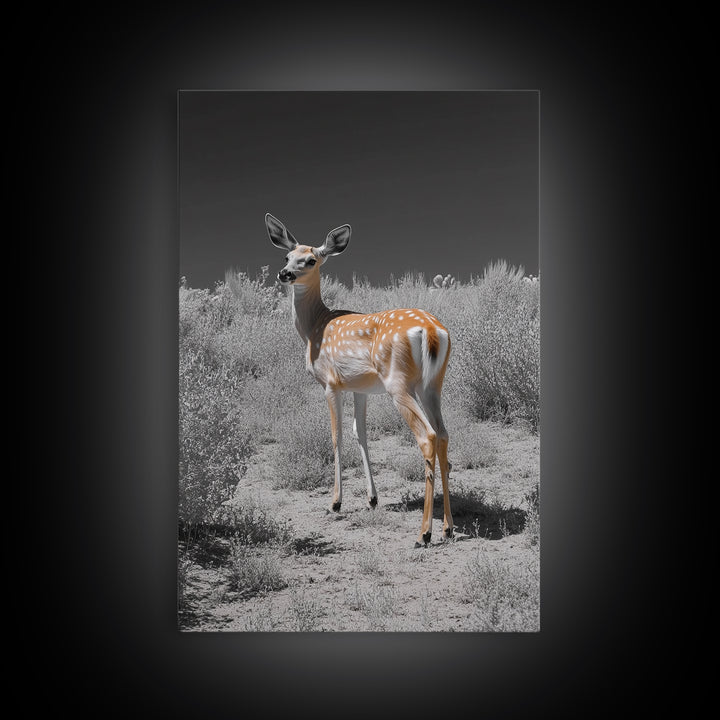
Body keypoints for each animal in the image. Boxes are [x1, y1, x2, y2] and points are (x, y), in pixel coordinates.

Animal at [266, 213, 454, 547]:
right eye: (287, 256)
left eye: (311, 260)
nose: (284, 274)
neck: (314, 327)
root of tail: (432, 331)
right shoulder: (360, 388)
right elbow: (361, 434)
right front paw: (372, 499)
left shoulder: (330, 383)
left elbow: (337, 435)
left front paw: (335, 502)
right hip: (432, 385)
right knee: (443, 434)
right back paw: (448, 528)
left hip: (398, 383)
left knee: (427, 436)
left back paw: (424, 533)